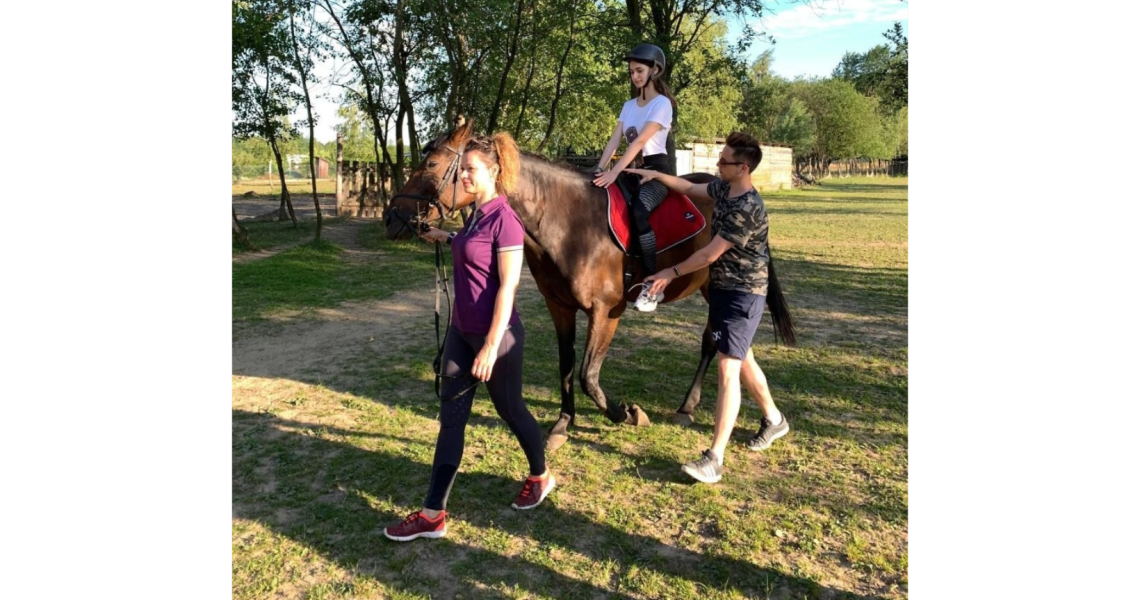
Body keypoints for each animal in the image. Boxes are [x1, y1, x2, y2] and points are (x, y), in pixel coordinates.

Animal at [383, 119, 793, 451]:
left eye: (432, 164)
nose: (391, 217)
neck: (569, 224)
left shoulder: (606, 311)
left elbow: (587, 375)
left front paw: (628, 414)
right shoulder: (559, 306)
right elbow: (566, 366)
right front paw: (564, 424)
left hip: (713, 287)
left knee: (711, 341)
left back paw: (687, 407)